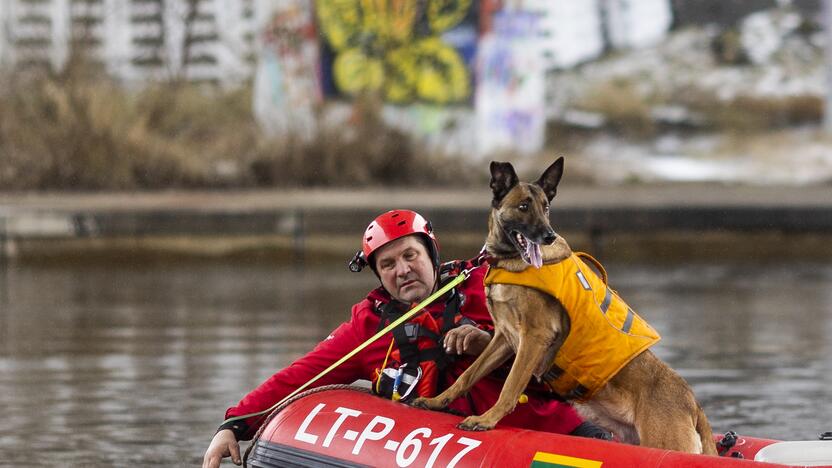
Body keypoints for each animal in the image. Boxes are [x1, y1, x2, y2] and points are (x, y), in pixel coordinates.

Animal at [412, 157, 720, 454]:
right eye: (523, 206)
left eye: (546, 207)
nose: (548, 235)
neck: (511, 262)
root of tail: (693, 403)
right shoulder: (504, 339)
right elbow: (468, 374)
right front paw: (438, 401)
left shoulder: (534, 337)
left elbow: (510, 386)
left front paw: (486, 420)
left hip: (663, 441)